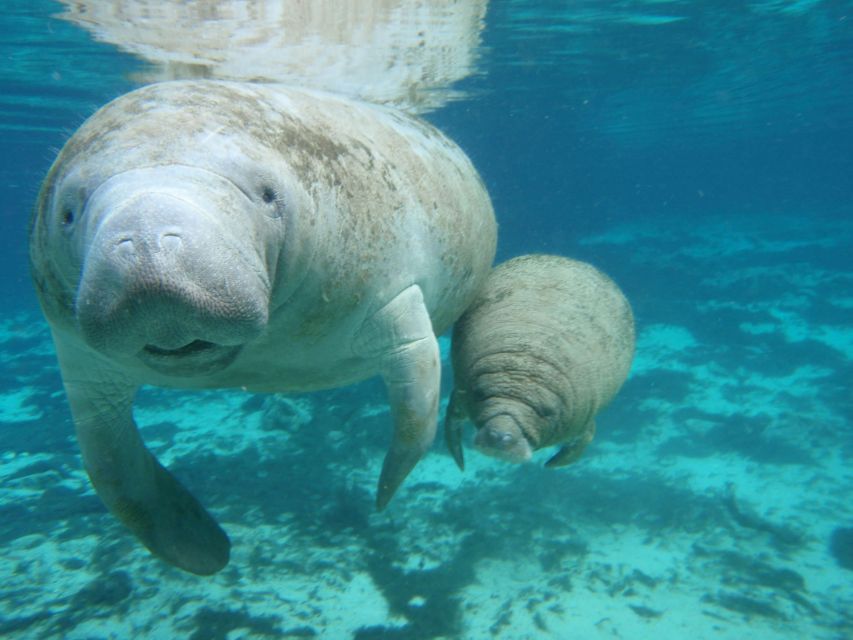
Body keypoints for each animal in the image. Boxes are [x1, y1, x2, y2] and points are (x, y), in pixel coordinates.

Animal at [31, 80, 500, 576]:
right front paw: (207, 552)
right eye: (67, 214)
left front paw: (383, 497)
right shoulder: (81, 360)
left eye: (268, 195)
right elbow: (111, 469)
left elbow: (415, 412)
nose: (145, 238)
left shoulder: (395, 299)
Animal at [446, 255, 632, 470]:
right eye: (480, 394)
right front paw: (460, 462)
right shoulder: (462, 390)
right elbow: (451, 419)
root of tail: (568, 259)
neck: (525, 360)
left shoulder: (582, 419)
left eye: (545, 412)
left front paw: (551, 465)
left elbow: (583, 439)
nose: (499, 437)